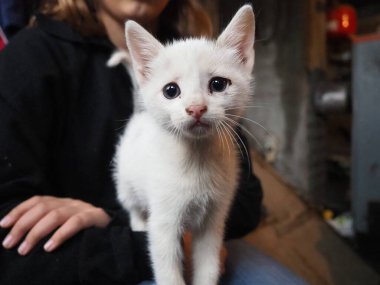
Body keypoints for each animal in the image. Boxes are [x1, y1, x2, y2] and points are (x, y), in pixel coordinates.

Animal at [113, 5, 255, 284]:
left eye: (218, 84)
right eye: (171, 90)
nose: (196, 108)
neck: (197, 160)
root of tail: (139, 114)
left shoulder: (213, 222)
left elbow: (208, 266)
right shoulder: (163, 226)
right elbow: (168, 271)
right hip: (125, 181)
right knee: (132, 205)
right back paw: (138, 223)